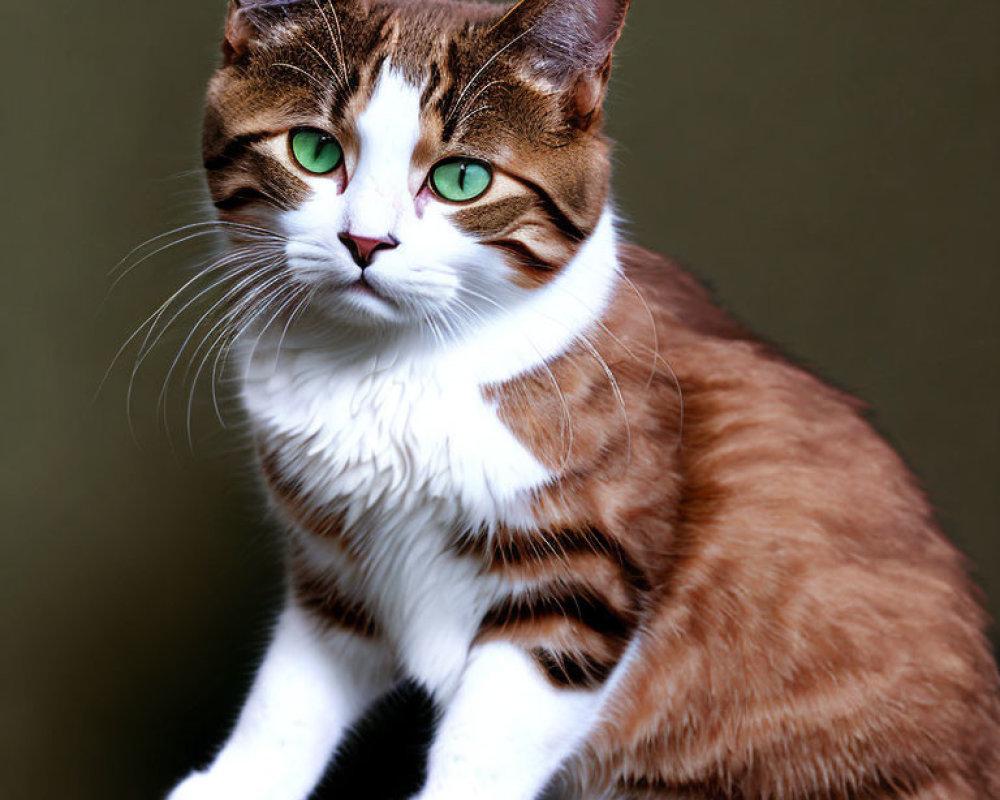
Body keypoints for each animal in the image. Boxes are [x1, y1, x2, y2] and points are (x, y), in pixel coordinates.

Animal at [164, 1, 1000, 800]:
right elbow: (287, 701)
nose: (366, 243)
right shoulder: (336, 570)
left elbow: (482, 751)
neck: (383, 370)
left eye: (462, 180)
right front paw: (233, 784)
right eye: (314, 151)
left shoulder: (577, 582)